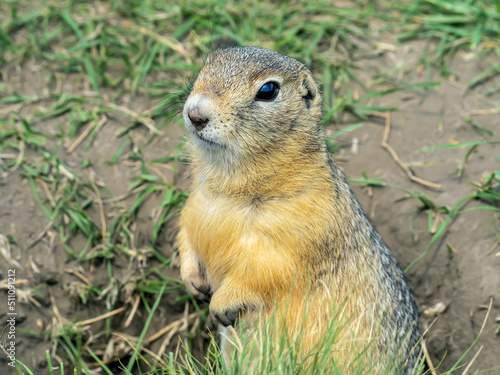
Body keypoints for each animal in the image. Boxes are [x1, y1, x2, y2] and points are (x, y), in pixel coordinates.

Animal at [178, 47, 420, 374]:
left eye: (268, 90)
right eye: (211, 60)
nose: (195, 113)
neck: (229, 188)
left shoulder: (301, 229)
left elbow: (264, 270)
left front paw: (221, 304)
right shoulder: (194, 206)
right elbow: (186, 236)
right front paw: (192, 280)